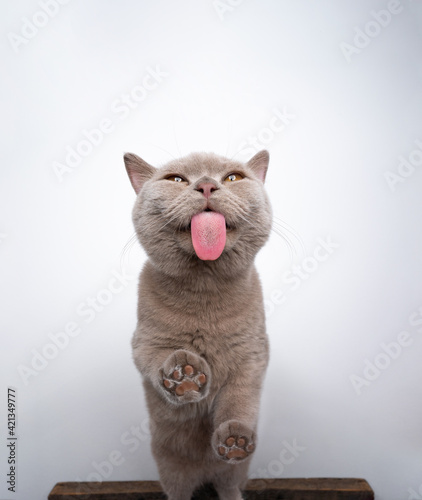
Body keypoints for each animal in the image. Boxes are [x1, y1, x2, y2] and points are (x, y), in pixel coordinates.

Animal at [123, 149, 272, 500]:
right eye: (176, 179)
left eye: (233, 177)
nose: (206, 185)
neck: (204, 289)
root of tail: (205, 476)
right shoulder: (144, 342)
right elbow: (158, 358)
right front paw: (184, 375)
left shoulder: (252, 356)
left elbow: (238, 401)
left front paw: (234, 437)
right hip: (169, 463)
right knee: (178, 490)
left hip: (234, 472)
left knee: (229, 485)